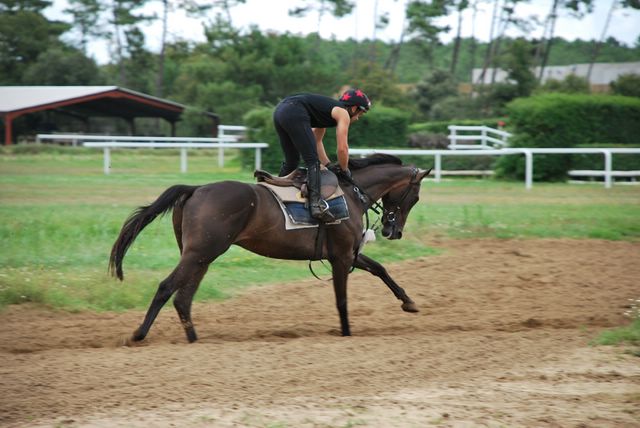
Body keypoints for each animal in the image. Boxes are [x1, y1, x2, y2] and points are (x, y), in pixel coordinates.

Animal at [109, 152, 430, 342]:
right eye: (414, 198)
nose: (393, 231)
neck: (350, 193)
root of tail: (196, 189)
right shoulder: (340, 256)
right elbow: (342, 299)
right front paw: (346, 333)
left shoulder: (348, 254)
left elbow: (380, 268)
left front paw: (408, 301)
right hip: (200, 253)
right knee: (167, 287)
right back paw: (139, 334)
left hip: (201, 256)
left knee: (183, 298)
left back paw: (194, 338)